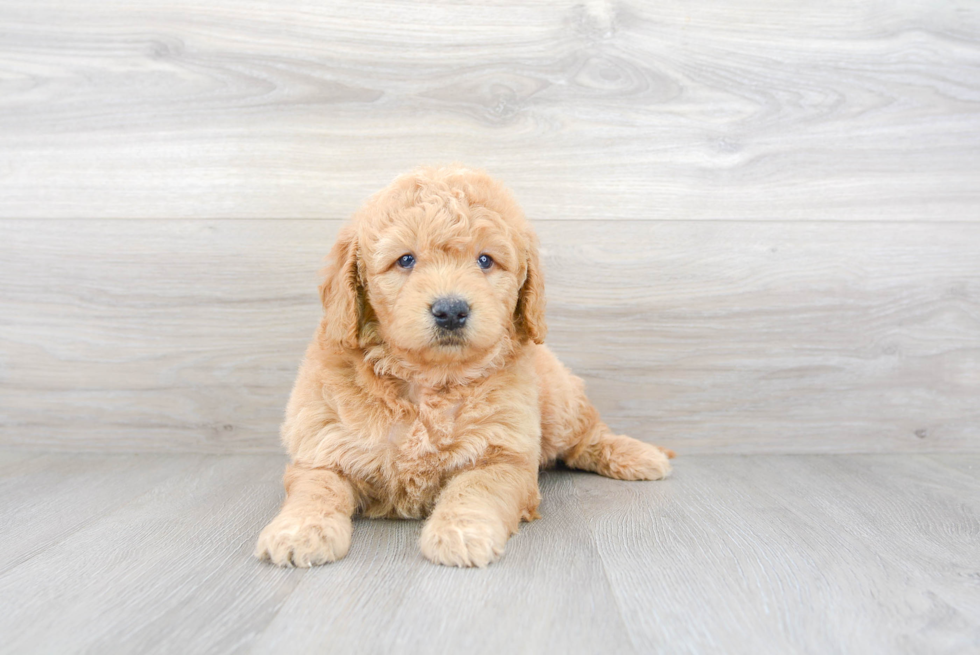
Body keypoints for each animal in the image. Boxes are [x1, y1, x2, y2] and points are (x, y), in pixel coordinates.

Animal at [255, 165, 672, 568]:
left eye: (485, 260)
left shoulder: (501, 454)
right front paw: (299, 531)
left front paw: (460, 534)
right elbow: (316, 488)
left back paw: (640, 455)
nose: (451, 310)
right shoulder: (322, 446)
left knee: (587, 434)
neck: (427, 381)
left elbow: (476, 490)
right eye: (406, 260)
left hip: (558, 405)